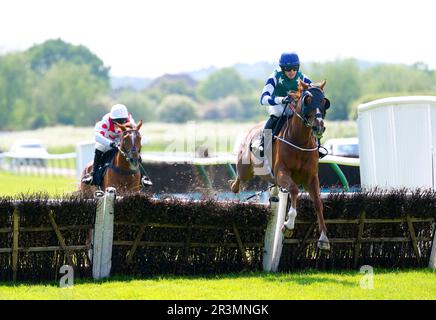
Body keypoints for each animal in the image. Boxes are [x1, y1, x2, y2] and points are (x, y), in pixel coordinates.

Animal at [232, 80, 330, 250]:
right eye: (307, 100)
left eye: (324, 102)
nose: (319, 127)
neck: (299, 142)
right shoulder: (281, 172)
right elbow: (294, 189)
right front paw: (289, 224)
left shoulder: (311, 178)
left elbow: (318, 203)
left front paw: (323, 239)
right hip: (245, 169)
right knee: (236, 182)